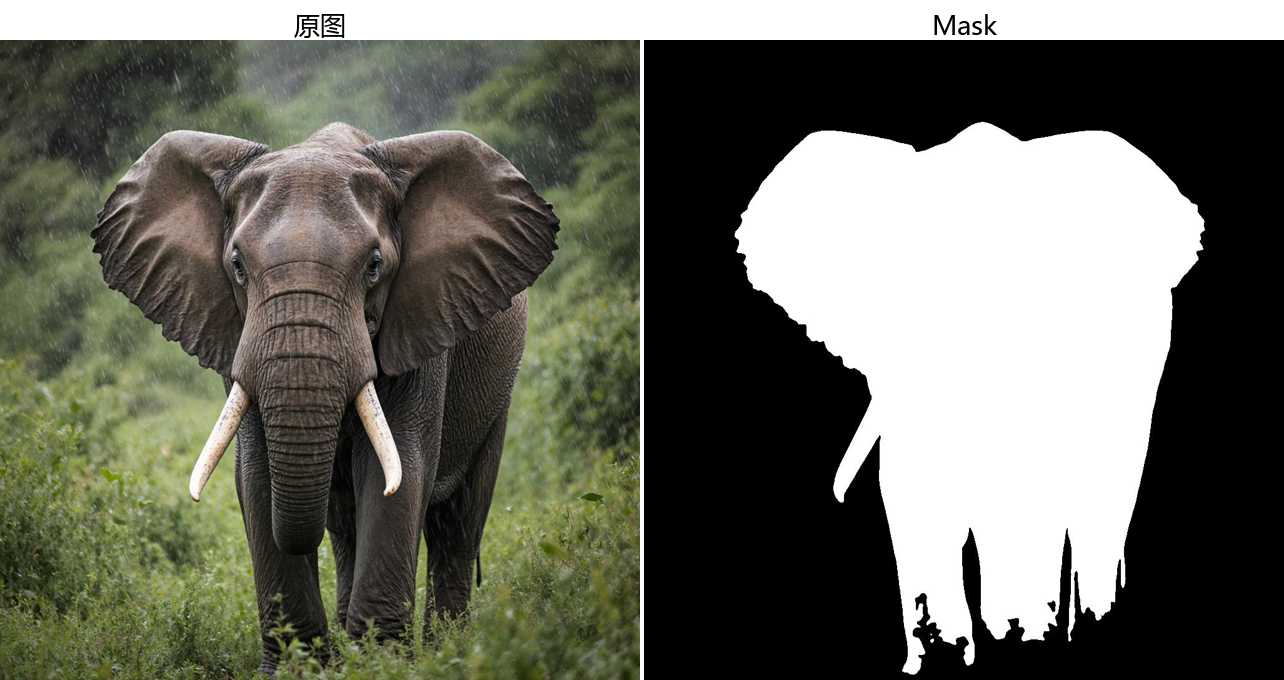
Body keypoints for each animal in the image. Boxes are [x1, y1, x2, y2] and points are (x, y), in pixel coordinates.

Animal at [91, 122, 559, 673]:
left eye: (374, 267)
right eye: (237, 267)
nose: (330, 651)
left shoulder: (422, 322)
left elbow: (398, 469)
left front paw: (380, 664)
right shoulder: (239, 340)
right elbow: (256, 476)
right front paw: (303, 666)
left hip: (497, 396)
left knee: (457, 528)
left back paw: (451, 649)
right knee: (344, 528)